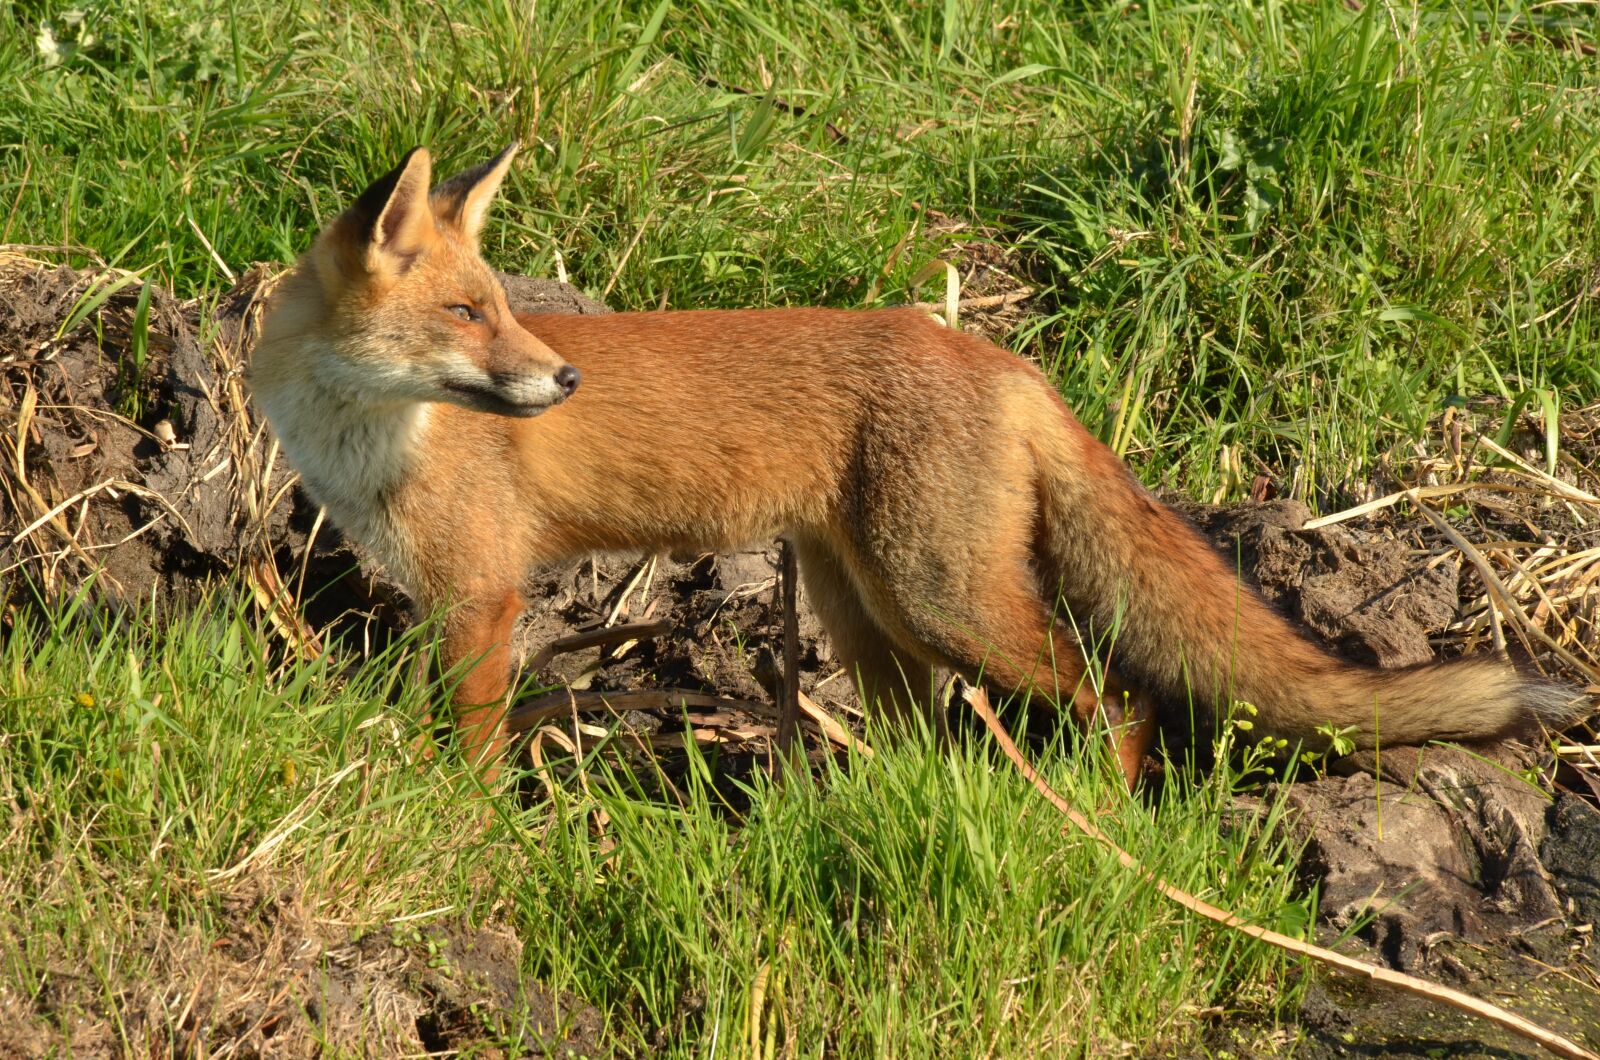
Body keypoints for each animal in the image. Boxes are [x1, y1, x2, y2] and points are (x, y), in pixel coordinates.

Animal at [249, 144, 1582, 785]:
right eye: (466, 313)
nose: (564, 381)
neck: (366, 435)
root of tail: (989, 349)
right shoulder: (446, 597)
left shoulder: (481, 595)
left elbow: (468, 749)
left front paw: (466, 825)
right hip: (870, 613)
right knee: (933, 738)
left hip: (944, 599)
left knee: (1120, 698)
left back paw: (1099, 822)